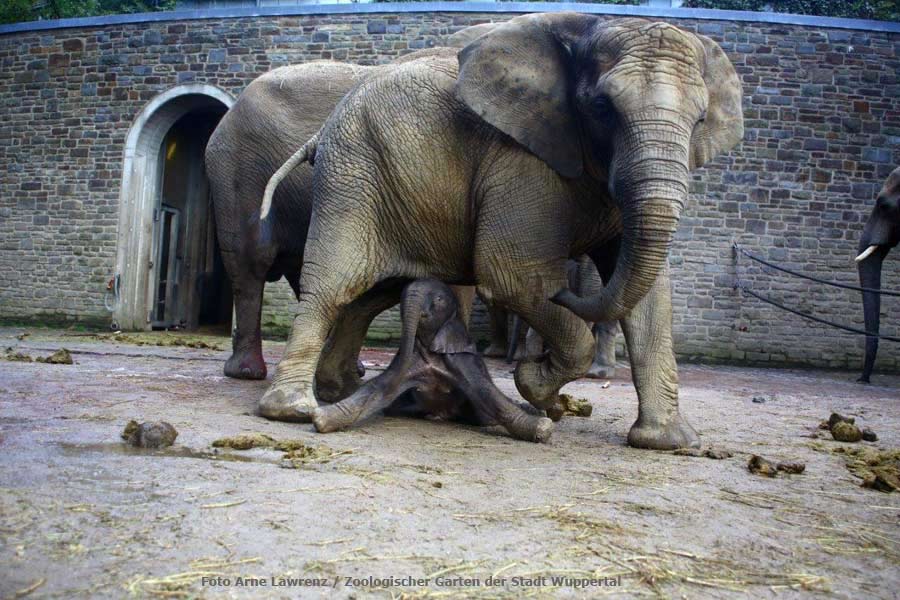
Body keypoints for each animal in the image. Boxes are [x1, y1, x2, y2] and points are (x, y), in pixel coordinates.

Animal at [312, 278, 552, 442]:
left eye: (438, 300)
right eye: (401, 296)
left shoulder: (461, 359)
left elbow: (487, 393)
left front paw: (543, 427)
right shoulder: (409, 361)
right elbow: (378, 390)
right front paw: (320, 418)